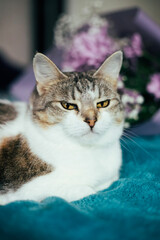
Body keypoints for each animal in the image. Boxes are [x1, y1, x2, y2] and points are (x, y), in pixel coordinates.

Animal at [0, 50, 124, 204]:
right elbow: (86, 191)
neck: (88, 151)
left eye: (103, 103)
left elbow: (110, 180)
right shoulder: (23, 191)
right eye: (67, 105)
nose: (91, 120)